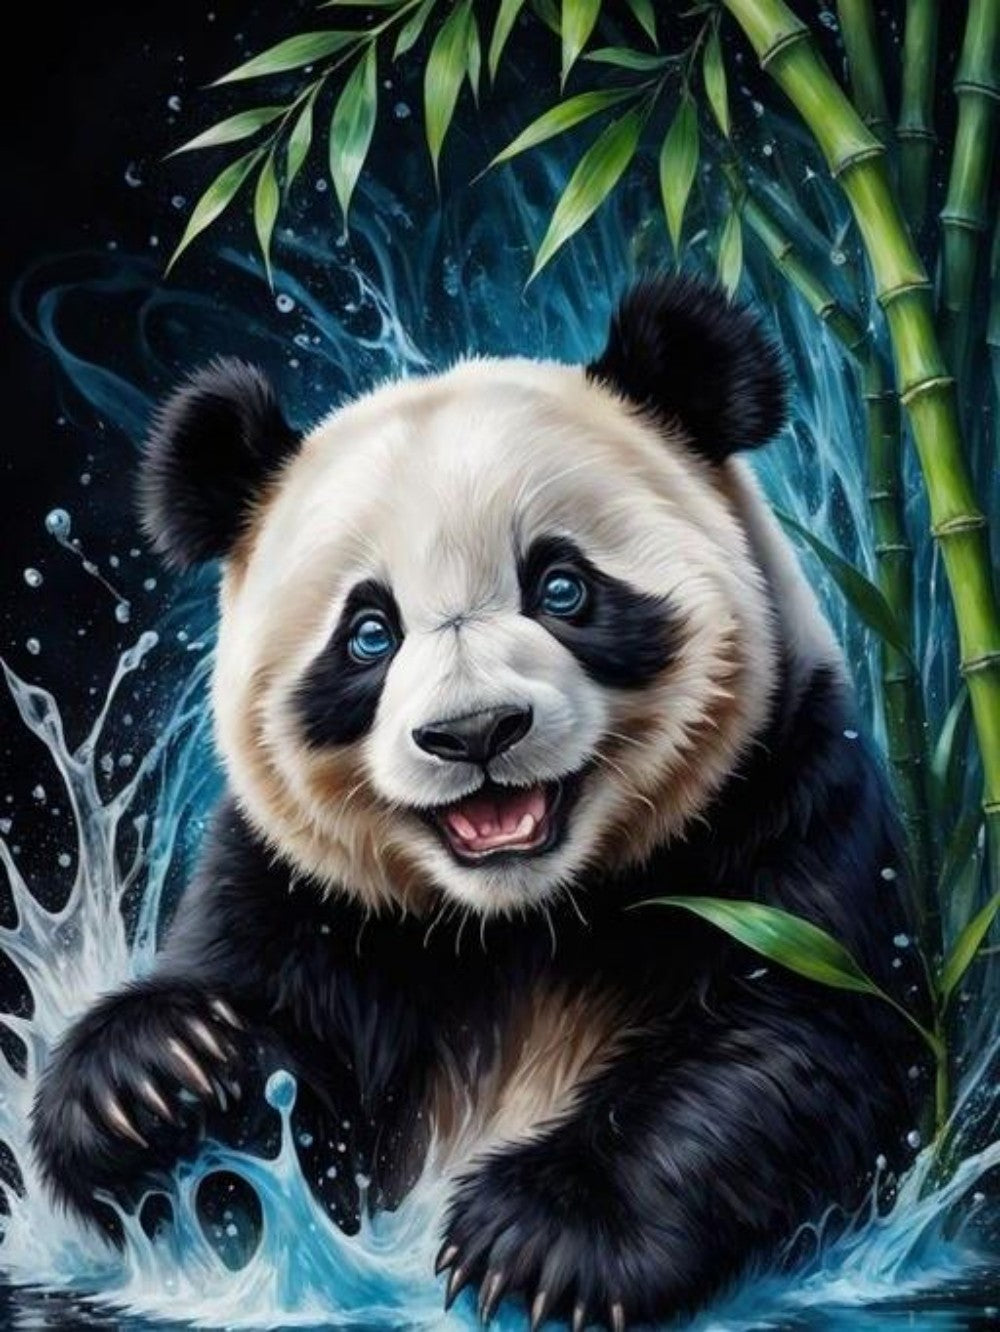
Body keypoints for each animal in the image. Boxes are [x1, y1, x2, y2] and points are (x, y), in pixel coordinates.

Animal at [31, 276, 920, 1328]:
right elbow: (279, 1151)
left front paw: (543, 1239)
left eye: (563, 586)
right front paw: (156, 1075)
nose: (476, 732)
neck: (521, 920)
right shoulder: (300, 891)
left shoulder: (788, 802)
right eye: (369, 633)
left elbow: (796, 1045)